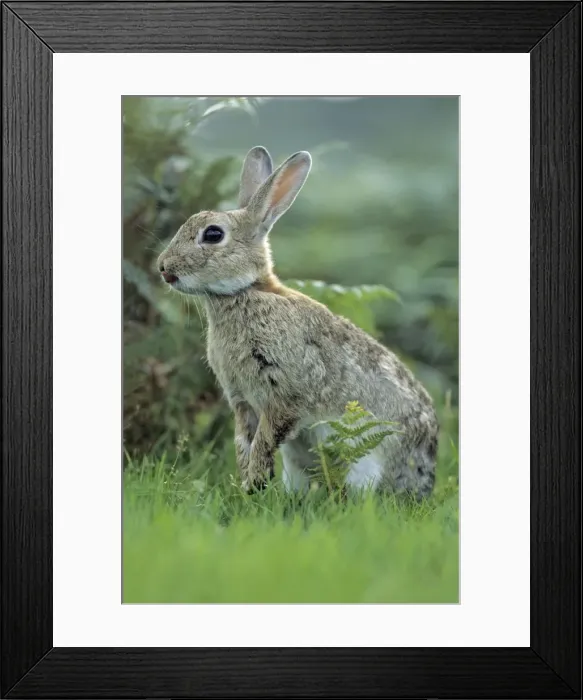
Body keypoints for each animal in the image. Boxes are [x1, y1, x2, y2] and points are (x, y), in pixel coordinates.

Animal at [157, 146, 439, 497]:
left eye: (213, 234)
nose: (163, 268)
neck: (245, 292)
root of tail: (425, 481)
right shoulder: (242, 401)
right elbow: (244, 443)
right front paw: (247, 485)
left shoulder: (285, 396)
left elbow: (264, 441)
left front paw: (252, 484)